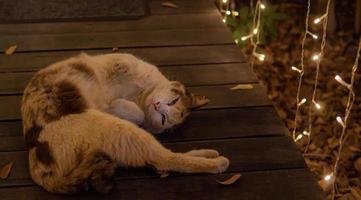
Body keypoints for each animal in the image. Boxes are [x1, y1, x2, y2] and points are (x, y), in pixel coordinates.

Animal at [20, 52, 228, 194]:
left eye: (164, 119)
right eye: (173, 101)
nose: (158, 105)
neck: (140, 96)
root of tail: (40, 171)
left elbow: (135, 112)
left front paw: (123, 107)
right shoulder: (120, 61)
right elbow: (127, 73)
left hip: (122, 132)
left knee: (165, 159)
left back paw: (215, 159)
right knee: (162, 160)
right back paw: (214, 158)